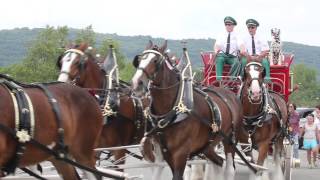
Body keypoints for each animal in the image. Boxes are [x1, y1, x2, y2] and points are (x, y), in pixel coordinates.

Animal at [131, 40, 244, 180]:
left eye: (155, 60)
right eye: (139, 60)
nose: (137, 83)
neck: (173, 110)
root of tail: (230, 93)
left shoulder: (181, 153)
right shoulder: (160, 153)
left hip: (230, 141)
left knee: (229, 169)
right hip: (207, 146)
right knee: (218, 162)